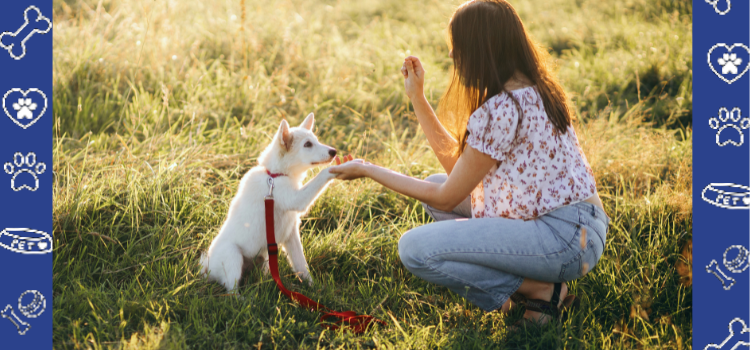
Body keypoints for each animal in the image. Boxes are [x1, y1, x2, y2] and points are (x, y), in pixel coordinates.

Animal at [201, 113, 340, 292]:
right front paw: (343, 167)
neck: (274, 175)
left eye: (315, 140)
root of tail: (207, 268)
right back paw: (242, 297)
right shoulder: (296, 199)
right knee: (231, 289)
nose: (334, 152)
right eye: (307, 144)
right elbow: (321, 176)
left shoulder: (291, 234)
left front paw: (313, 287)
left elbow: (301, 264)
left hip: (265, 256)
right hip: (233, 256)